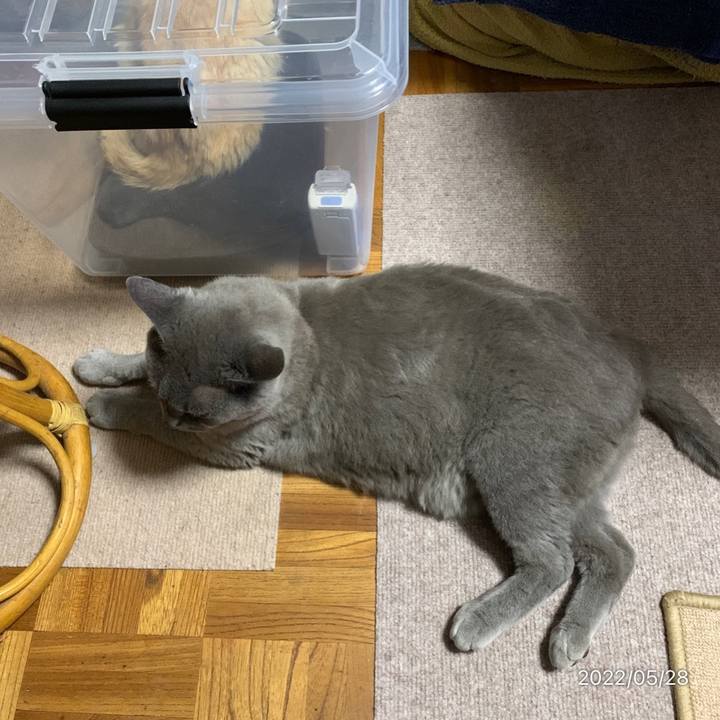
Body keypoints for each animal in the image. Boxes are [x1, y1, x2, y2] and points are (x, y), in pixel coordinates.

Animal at [73, 264, 720, 670]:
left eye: (194, 415)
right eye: (172, 396)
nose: (177, 416)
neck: (305, 330)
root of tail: (630, 350)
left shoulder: (232, 445)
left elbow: (144, 419)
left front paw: (104, 407)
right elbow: (137, 363)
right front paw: (101, 364)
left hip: (514, 463)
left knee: (553, 560)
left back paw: (477, 623)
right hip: (567, 486)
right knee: (615, 552)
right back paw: (569, 641)